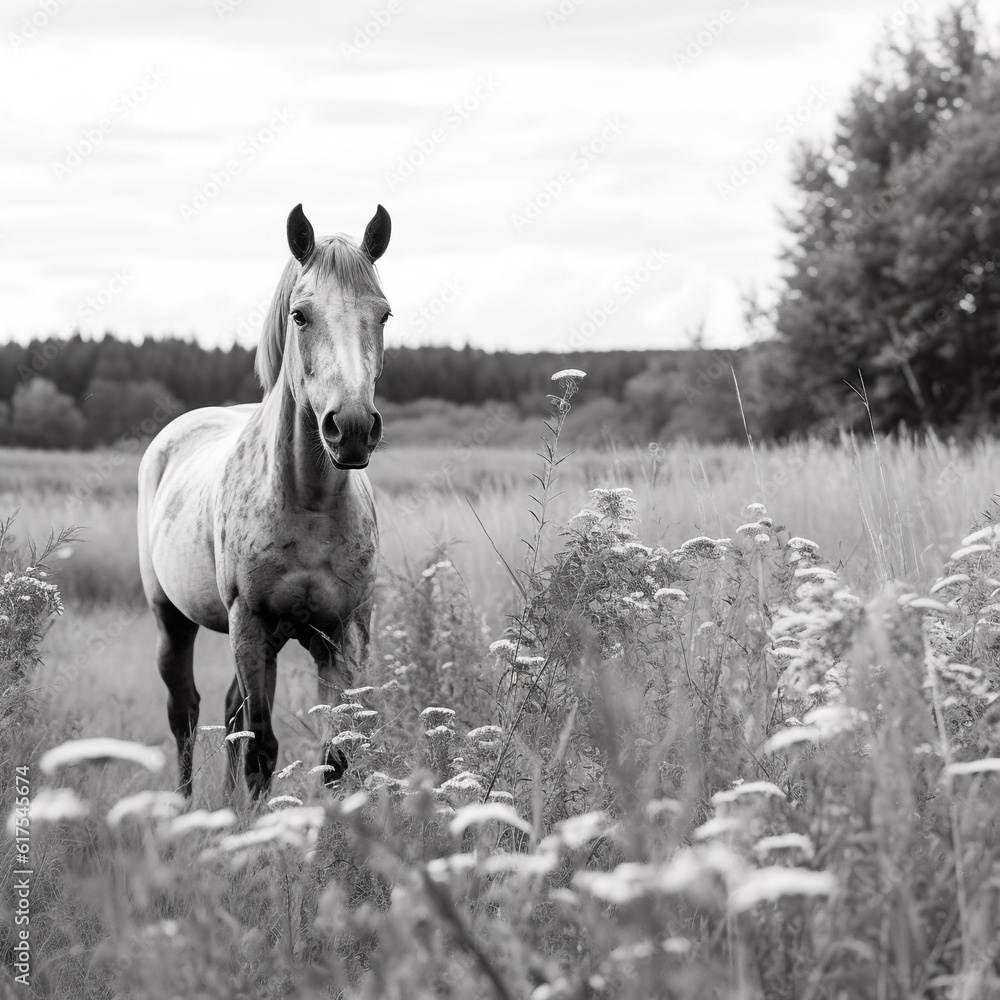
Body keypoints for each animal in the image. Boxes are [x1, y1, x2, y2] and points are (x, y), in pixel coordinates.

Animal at [137, 203, 391, 799]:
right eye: (300, 315)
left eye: (384, 315)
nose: (351, 428)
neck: (310, 505)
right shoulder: (250, 626)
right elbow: (262, 752)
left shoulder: (343, 635)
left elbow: (334, 758)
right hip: (173, 621)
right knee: (186, 714)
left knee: (230, 713)